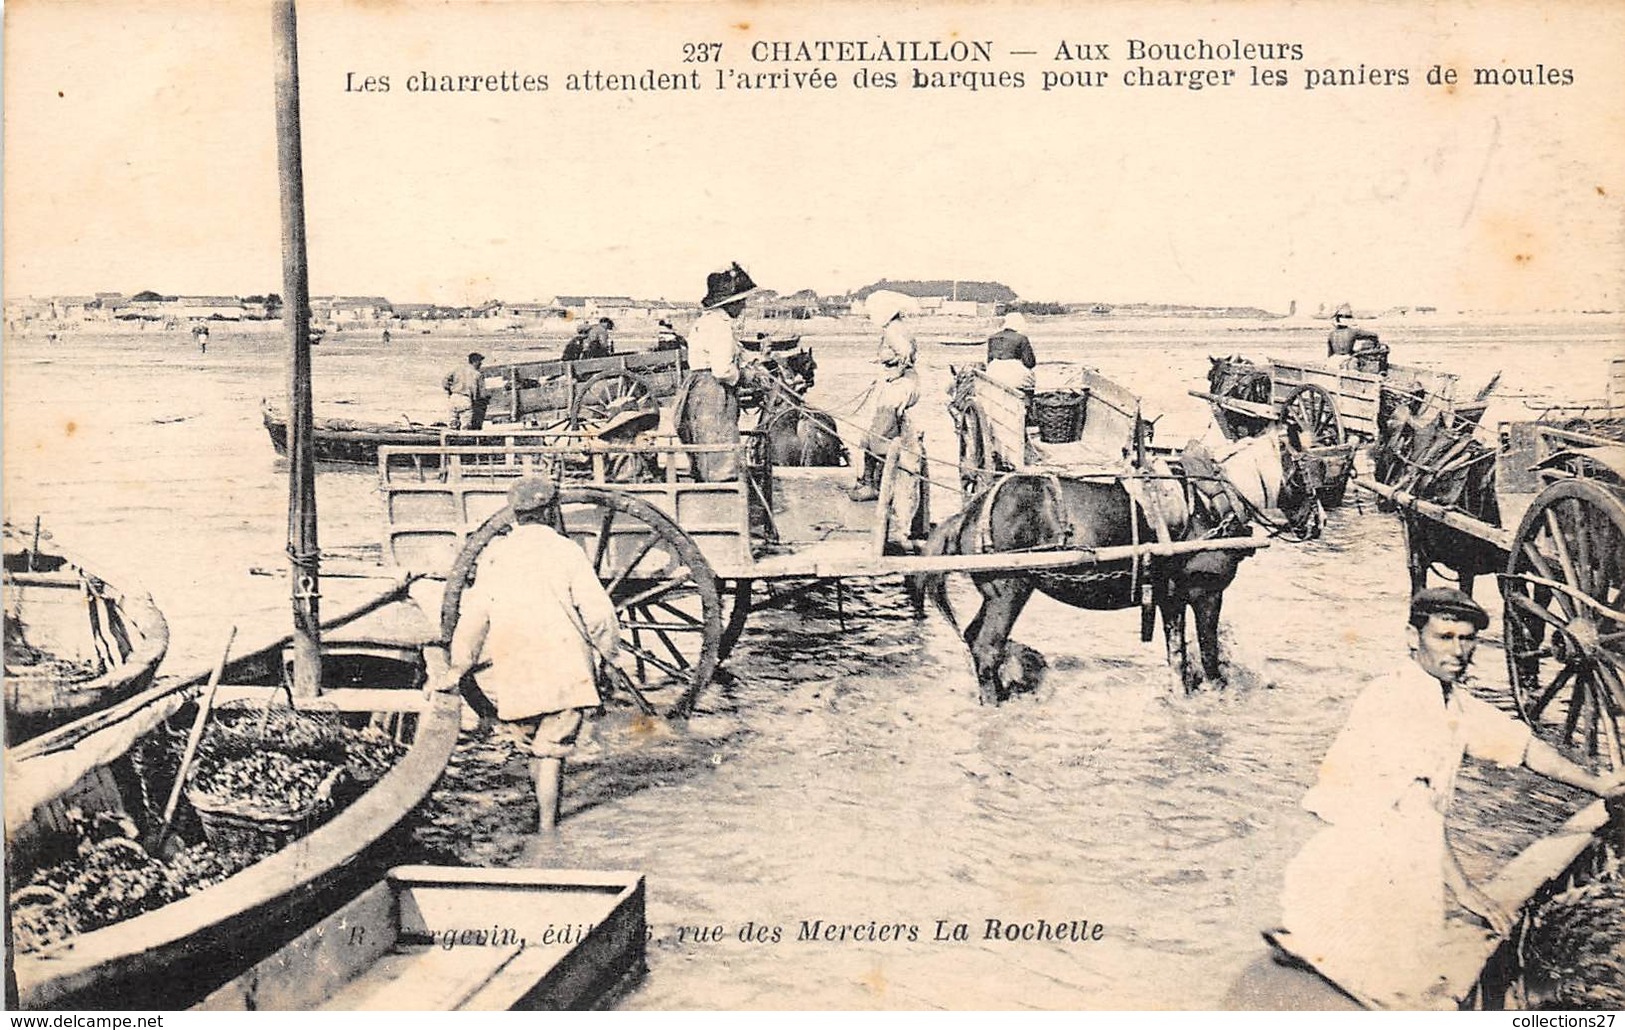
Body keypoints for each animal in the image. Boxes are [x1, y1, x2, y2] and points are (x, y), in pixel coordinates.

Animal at [916, 428, 1319, 701]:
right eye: (1308, 470)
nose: (1318, 521)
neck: (1211, 501)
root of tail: (973, 510)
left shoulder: (1172, 599)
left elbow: (1178, 659)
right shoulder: (1206, 595)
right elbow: (1209, 656)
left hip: (995, 595)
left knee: (973, 639)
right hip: (1009, 592)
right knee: (987, 648)